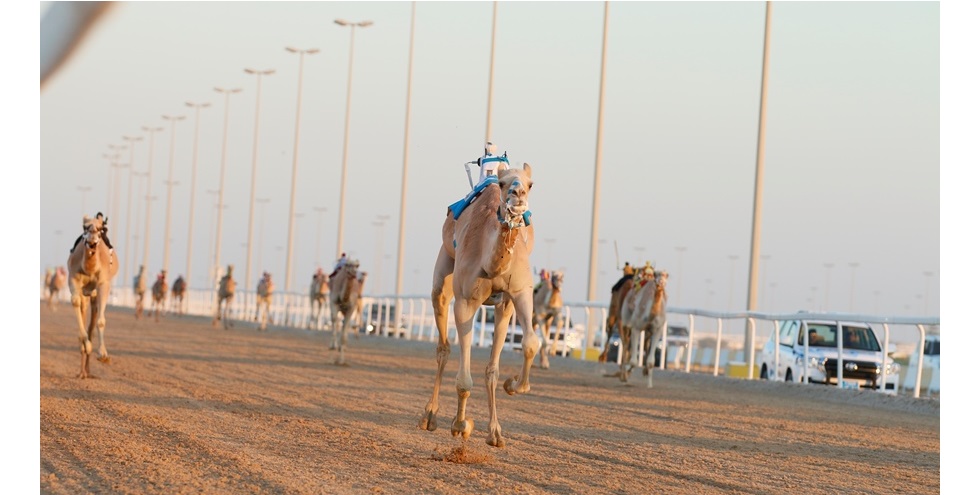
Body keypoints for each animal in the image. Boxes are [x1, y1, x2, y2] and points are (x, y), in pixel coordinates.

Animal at [66, 214, 119, 380]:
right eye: (84, 227)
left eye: (101, 228)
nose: (92, 241)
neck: (89, 268)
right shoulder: (74, 280)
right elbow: (75, 302)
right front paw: (87, 345)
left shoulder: (103, 284)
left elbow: (100, 321)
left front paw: (103, 354)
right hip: (86, 294)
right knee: (84, 315)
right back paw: (82, 371)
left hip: (94, 294)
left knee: (92, 323)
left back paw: (88, 370)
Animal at [420, 163, 540, 450]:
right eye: (504, 183)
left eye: (531, 184)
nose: (518, 195)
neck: (491, 263)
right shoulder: (465, 302)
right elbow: (464, 380)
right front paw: (461, 425)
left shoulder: (519, 293)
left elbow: (528, 344)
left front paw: (512, 387)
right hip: (444, 273)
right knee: (443, 346)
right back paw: (430, 416)